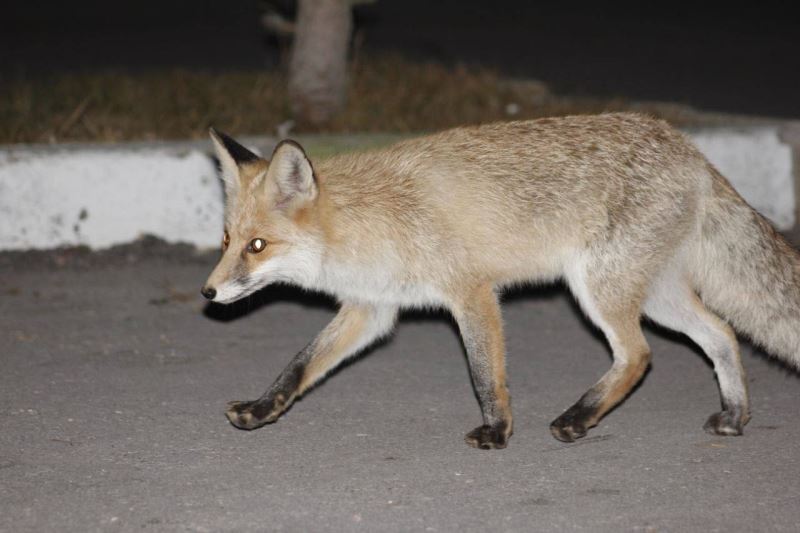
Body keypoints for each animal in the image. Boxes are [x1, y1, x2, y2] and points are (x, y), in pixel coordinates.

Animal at [200, 113, 800, 448]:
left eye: (258, 246)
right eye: (227, 240)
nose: (208, 293)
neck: (371, 221)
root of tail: (691, 149)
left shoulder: (473, 293)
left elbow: (485, 375)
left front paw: (496, 432)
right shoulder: (372, 309)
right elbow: (299, 365)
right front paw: (262, 409)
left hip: (599, 289)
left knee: (639, 355)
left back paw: (578, 418)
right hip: (656, 295)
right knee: (721, 334)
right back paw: (735, 416)